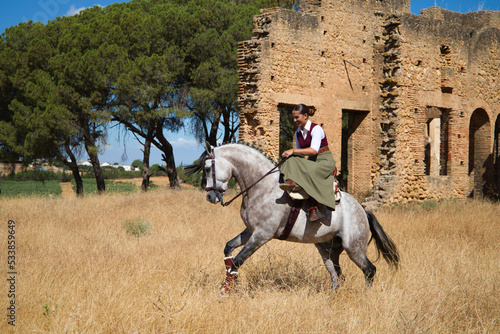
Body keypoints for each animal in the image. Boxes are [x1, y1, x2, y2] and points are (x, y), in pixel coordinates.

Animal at [186, 142, 400, 292]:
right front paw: (230, 282)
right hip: (327, 250)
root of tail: (362, 210)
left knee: (369, 270)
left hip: (354, 248)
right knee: (337, 276)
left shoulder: (262, 235)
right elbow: (229, 249)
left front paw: (226, 288)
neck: (262, 187)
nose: (210, 197)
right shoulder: (251, 231)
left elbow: (238, 260)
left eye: (207, 169)